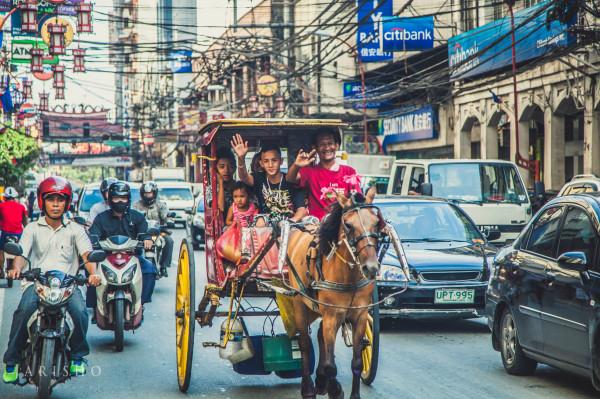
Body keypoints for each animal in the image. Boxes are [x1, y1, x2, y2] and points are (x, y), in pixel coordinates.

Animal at [288, 192, 384, 398]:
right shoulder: (332, 316)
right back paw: (308, 388)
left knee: (319, 335)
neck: (348, 276)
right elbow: (331, 366)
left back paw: (320, 380)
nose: (371, 267)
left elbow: (356, 362)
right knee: (304, 343)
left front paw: (351, 393)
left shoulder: (359, 315)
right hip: (300, 303)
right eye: (348, 225)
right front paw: (335, 389)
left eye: (376, 222)